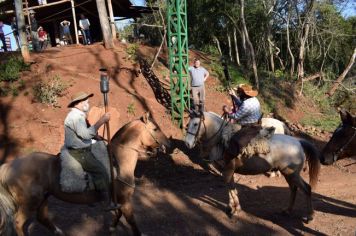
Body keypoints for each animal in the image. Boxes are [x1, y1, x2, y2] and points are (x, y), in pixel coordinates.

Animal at [0, 112, 171, 236]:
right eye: (155, 129)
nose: (168, 144)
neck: (118, 161)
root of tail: (10, 166)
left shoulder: (120, 202)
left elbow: (118, 215)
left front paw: (111, 228)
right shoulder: (125, 201)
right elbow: (132, 223)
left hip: (43, 198)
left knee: (42, 218)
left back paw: (60, 232)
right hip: (30, 202)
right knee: (18, 223)